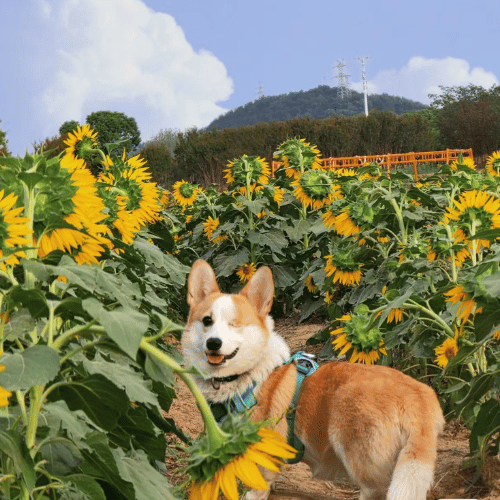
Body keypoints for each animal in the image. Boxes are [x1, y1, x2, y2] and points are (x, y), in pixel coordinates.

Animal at [182, 260, 444, 500]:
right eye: (207, 321)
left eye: (235, 325)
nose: (213, 343)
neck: (248, 376)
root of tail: (418, 399)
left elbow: (255, 488)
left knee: (375, 488)